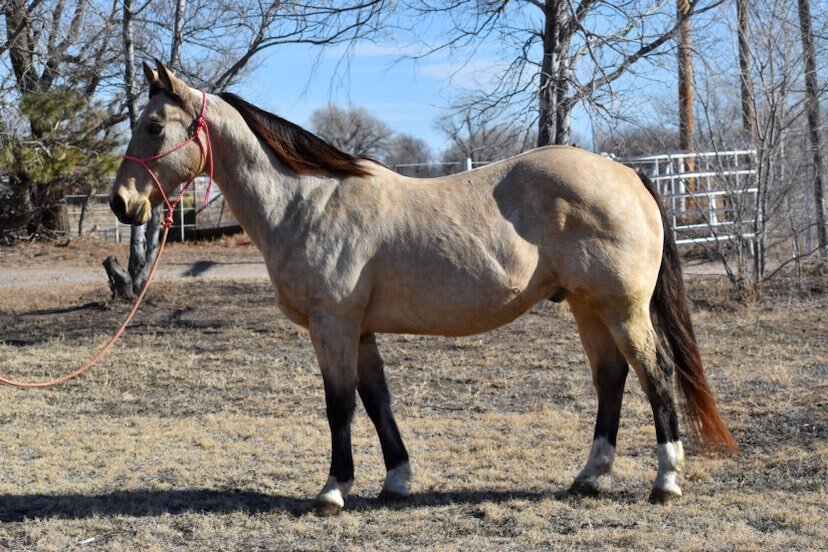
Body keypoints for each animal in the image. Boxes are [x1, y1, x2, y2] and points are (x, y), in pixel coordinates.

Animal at [110, 60, 736, 516]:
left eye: (153, 126)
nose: (121, 203)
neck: (308, 202)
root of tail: (627, 173)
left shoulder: (333, 326)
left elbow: (339, 406)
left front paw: (332, 491)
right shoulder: (360, 331)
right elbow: (376, 401)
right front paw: (396, 481)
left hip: (621, 308)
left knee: (656, 375)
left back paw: (666, 481)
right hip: (587, 308)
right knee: (612, 378)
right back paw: (590, 477)